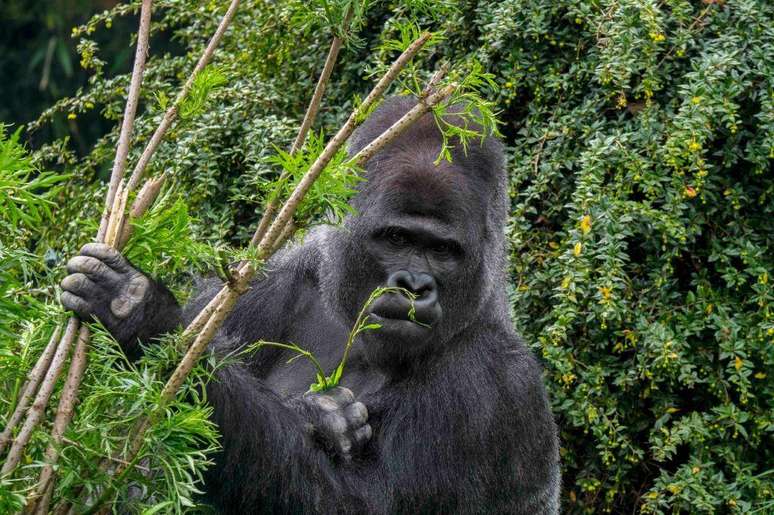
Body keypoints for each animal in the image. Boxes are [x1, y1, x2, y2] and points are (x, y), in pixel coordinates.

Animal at [60, 98, 556, 515]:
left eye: (443, 250)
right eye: (397, 239)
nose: (414, 286)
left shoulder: (496, 384)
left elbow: (354, 503)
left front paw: (144, 318)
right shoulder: (260, 283)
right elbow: (125, 454)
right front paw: (324, 417)